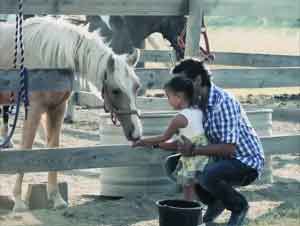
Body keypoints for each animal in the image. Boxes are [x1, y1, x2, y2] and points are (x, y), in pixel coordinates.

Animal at [0, 17, 142, 212]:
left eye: (137, 87)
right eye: (115, 90)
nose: (136, 132)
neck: (48, 57)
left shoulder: (57, 109)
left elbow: (54, 150)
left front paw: (56, 198)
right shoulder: (34, 109)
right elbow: (26, 150)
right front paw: (19, 201)